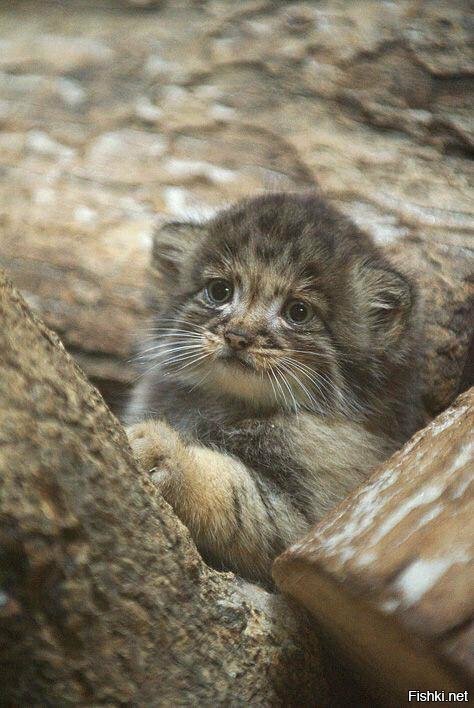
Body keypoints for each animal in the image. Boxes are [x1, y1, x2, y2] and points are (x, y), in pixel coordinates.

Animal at [126, 191, 422, 584]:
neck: (232, 405)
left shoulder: (312, 523)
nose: (238, 336)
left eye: (298, 312)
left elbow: (235, 495)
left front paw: (165, 452)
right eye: (219, 291)